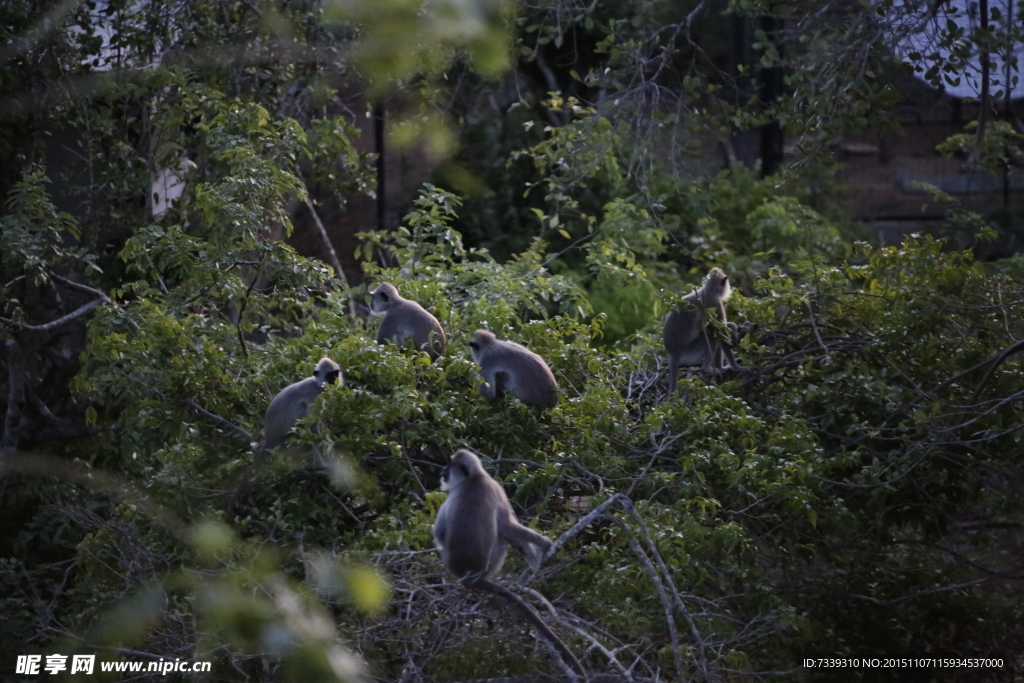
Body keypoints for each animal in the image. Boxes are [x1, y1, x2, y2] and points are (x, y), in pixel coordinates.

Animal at [432, 450, 589, 679]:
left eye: (449, 466)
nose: (442, 472)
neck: (475, 479)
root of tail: (470, 574)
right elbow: (505, 526)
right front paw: (543, 545)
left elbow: (442, 533)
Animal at [659, 266, 749, 395]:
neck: (707, 290)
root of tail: (673, 353)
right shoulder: (715, 302)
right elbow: (720, 330)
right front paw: (736, 367)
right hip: (691, 352)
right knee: (712, 336)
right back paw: (709, 369)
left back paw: (719, 369)